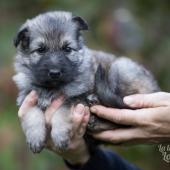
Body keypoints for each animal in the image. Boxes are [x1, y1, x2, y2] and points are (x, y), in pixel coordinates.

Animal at [12, 11, 159, 153]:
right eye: (41, 50)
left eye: (67, 49)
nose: (55, 73)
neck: (51, 88)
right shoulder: (27, 96)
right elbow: (32, 114)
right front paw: (35, 138)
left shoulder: (74, 99)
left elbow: (61, 112)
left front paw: (60, 136)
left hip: (119, 69)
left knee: (121, 115)